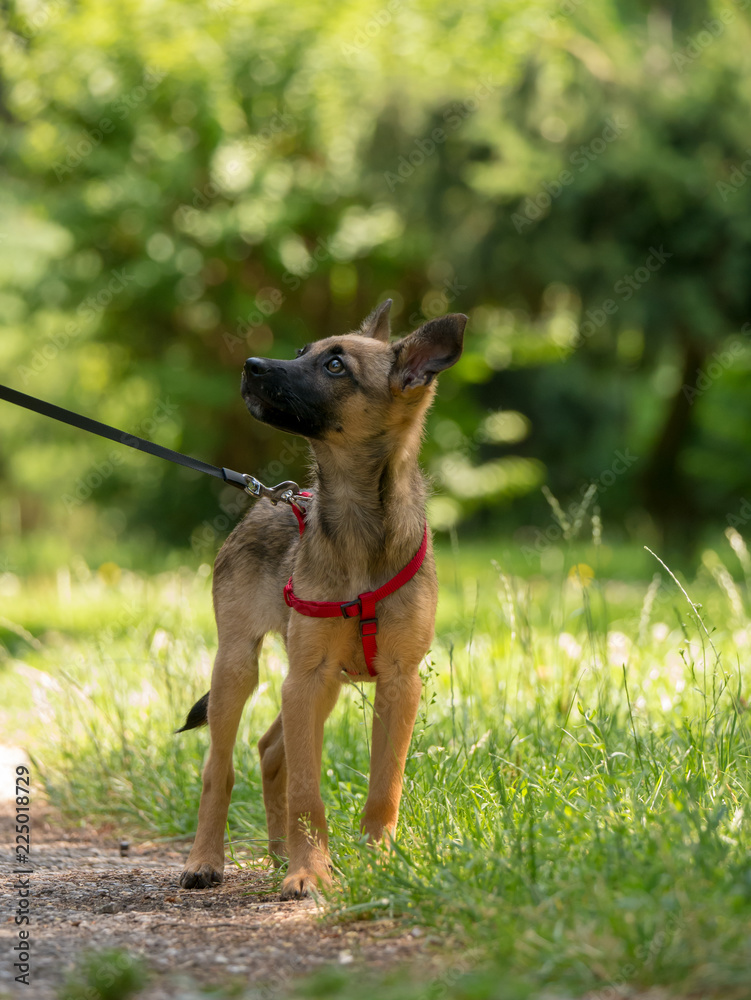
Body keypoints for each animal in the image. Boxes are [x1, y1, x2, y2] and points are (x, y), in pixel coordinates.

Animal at [179, 302, 468, 900]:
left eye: (336, 365)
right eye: (299, 352)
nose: (251, 365)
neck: (357, 522)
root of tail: (271, 500)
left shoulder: (397, 682)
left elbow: (385, 787)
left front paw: (378, 862)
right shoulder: (304, 679)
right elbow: (307, 794)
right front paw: (309, 872)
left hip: (325, 681)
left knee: (270, 752)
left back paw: (275, 856)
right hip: (239, 666)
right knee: (221, 767)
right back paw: (207, 859)